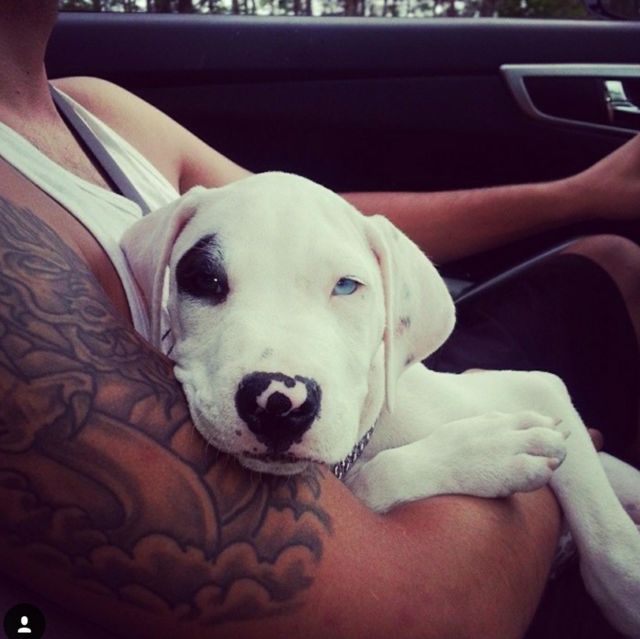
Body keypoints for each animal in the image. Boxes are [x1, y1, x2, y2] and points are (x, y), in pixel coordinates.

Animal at [121, 171, 640, 637]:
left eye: (346, 286)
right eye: (204, 280)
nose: (278, 402)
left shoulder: (534, 388)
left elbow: (611, 547)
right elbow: (372, 482)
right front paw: (491, 450)